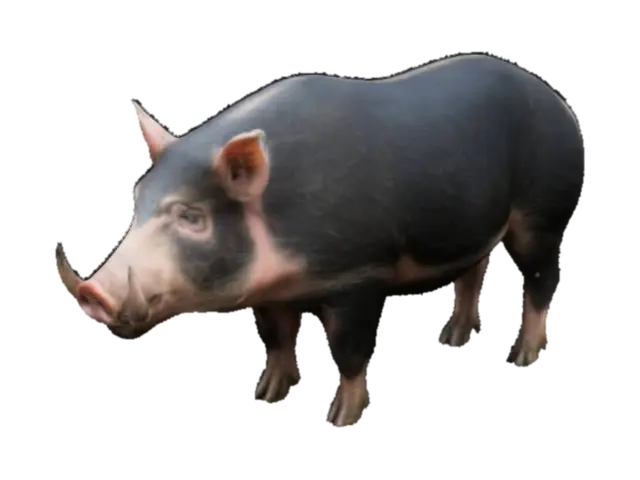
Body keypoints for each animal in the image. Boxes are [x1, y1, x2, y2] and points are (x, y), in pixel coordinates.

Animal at [55, 54, 584, 427]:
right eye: (136, 200)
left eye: (192, 216)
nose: (93, 291)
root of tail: (558, 103)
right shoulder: (268, 293)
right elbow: (277, 338)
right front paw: (267, 397)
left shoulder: (361, 273)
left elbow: (347, 351)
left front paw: (339, 421)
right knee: (476, 269)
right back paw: (451, 341)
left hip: (544, 211)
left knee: (541, 279)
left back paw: (522, 359)